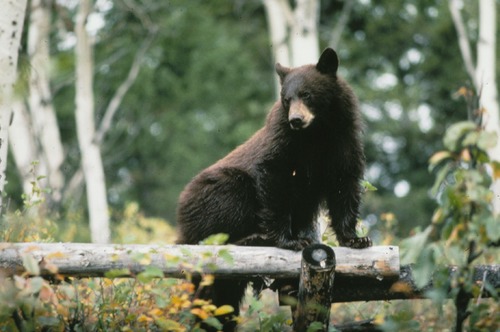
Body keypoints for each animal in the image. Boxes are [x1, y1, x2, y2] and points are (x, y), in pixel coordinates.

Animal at [177, 48, 372, 330]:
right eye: (286, 99)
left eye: (307, 94)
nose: (296, 120)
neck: (318, 132)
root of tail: (181, 221)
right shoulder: (282, 140)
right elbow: (273, 176)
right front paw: (290, 239)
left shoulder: (343, 141)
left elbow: (344, 186)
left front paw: (356, 239)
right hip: (218, 191)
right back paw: (254, 238)